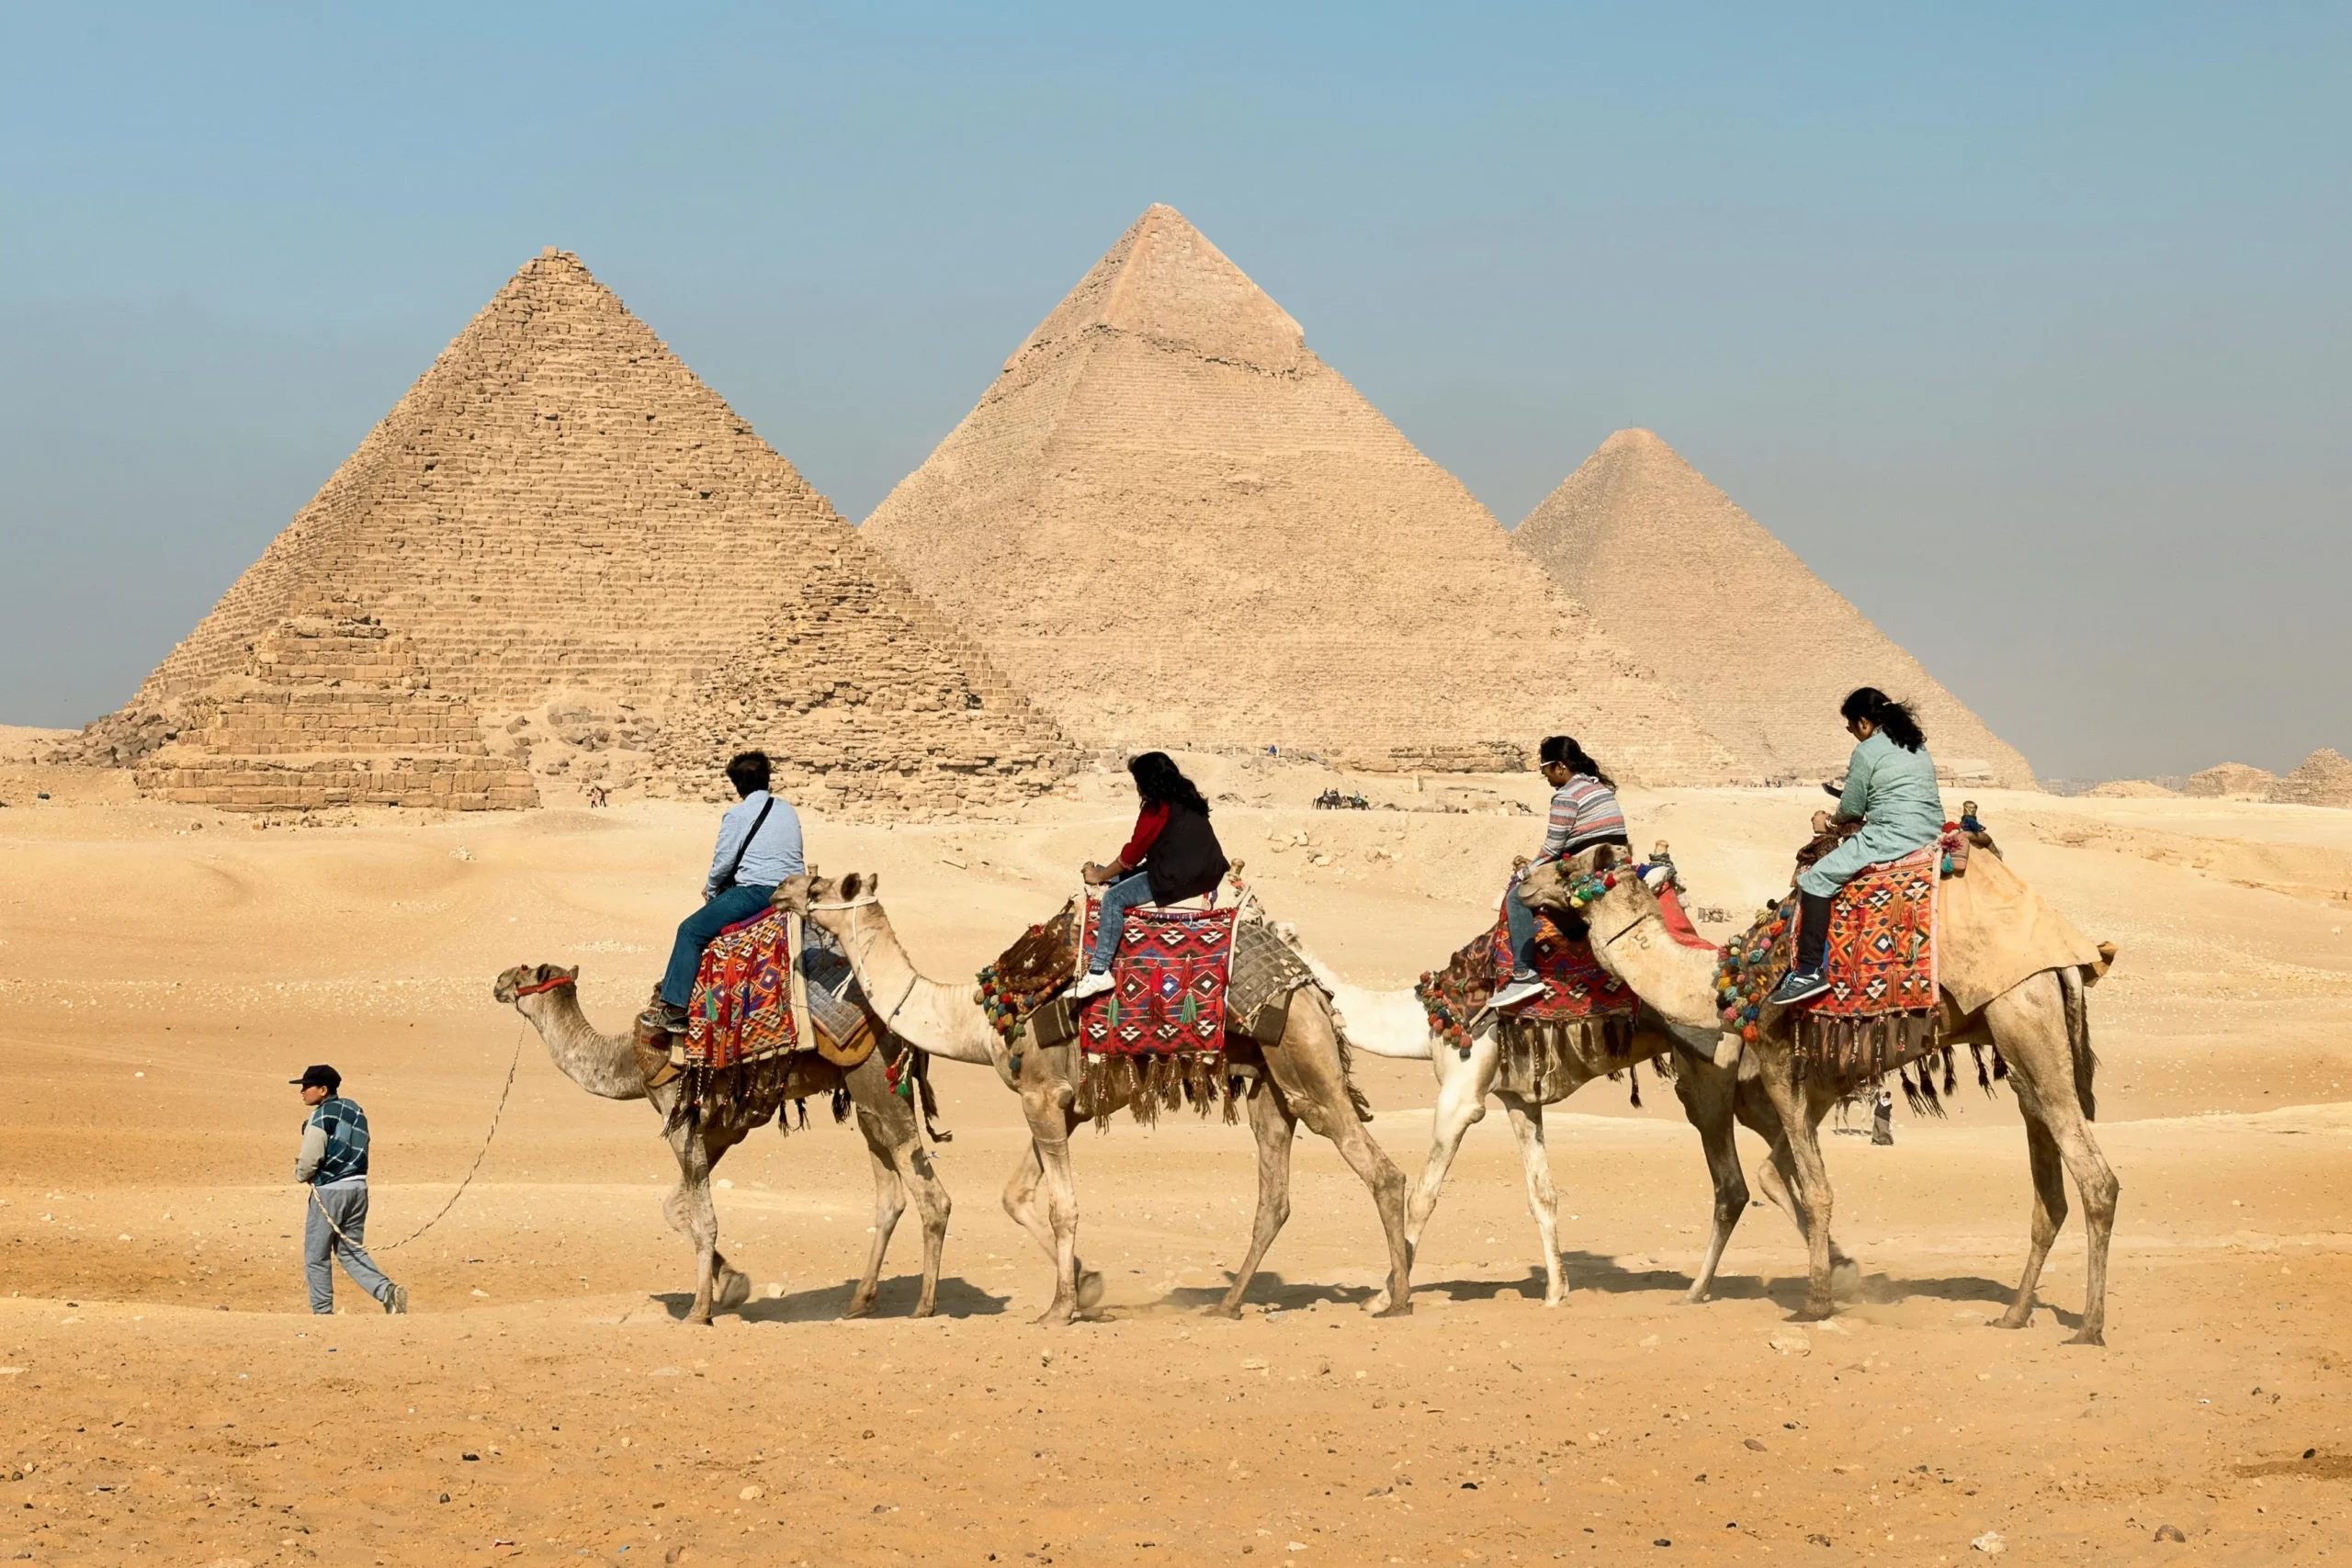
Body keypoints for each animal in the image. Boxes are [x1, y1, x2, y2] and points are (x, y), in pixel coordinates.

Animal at [492, 959, 950, 1325]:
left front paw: (700, 1311)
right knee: (891, 1196)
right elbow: (676, 1208)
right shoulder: (721, 1130)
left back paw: (924, 1306)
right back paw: (861, 1301)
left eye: (525, 971)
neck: (627, 1060)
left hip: (877, 1079)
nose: (497, 980)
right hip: (864, 1095)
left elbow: (704, 1219)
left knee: (933, 1197)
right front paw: (732, 1284)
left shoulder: (679, 1121)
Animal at [804, 869, 1411, 1325]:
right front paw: (1085, 1285)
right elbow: (1017, 1197)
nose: (788, 887)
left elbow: (1062, 1207)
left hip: (1306, 1062)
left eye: (824, 887)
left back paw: (1396, 1300)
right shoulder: (1061, 1105)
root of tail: (1311, 987)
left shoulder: (1042, 1096)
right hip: (1271, 1083)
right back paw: (1229, 1303)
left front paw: (1061, 1308)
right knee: (1274, 1197)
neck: (978, 1020)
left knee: (1380, 1172)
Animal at [1514, 851, 2126, 1344]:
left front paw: (1817, 1301)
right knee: (2049, 1192)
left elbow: (1815, 1188)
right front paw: (1837, 1273)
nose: (1523, 882)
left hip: (2022, 1014)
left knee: (2097, 1178)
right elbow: (1782, 1173)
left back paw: (2090, 1327)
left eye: (1565, 868)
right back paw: (2015, 1314)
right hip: (2019, 1047)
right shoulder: (1819, 1081)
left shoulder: (1781, 1061)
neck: (1723, 982)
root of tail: (2071, 959)